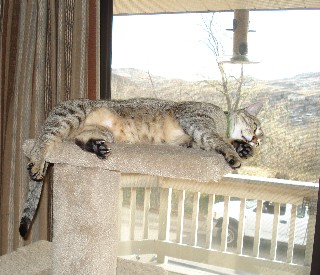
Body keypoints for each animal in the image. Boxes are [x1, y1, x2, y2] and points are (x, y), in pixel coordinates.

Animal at [19, 98, 262, 238]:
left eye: (260, 137)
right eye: (256, 126)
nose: (256, 141)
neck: (223, 120)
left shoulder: (192, 142)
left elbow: (215, 142)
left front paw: (243, 149)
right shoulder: (197, 122)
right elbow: (216, 139)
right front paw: (235, 153)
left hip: (98, 133)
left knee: (81, 140)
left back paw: (97, 147)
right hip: (68, 117)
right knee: (43, 141)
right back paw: (37, 162)